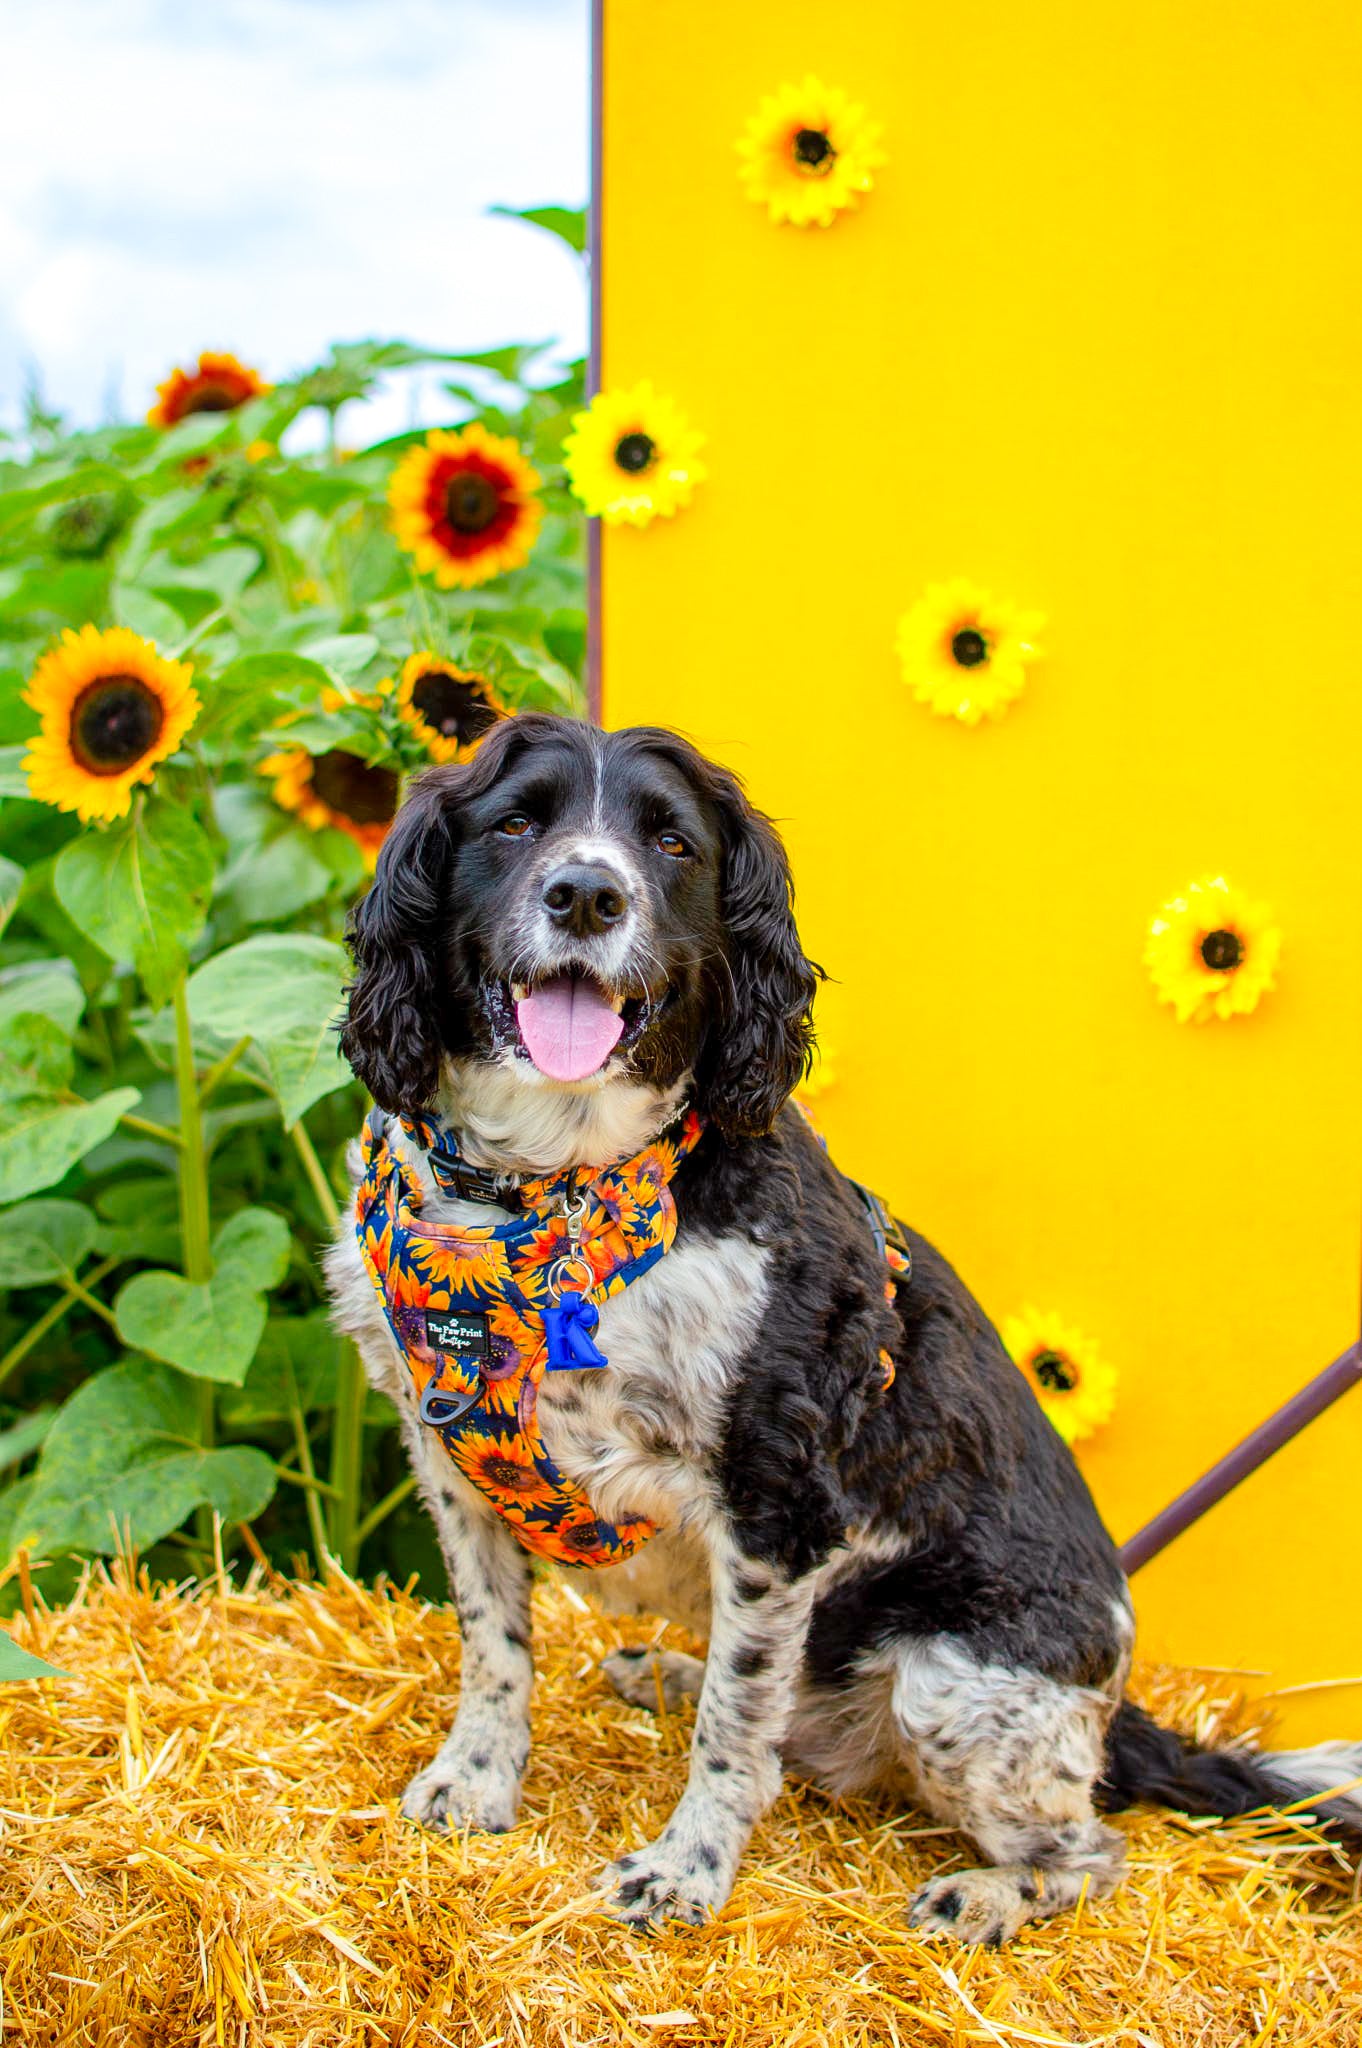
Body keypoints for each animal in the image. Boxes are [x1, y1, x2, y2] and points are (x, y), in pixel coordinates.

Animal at [323, 712, 1351, 1941]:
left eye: (671, 842)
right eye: (517, 822)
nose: (586, 894)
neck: (547, 1194)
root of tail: (1115, 1711)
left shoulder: (783, 1503)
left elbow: (734, 1731)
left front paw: (686, 1870)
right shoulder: (449, 1458)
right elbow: (496, 1649)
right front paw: (476, 1778)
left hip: (955, 1684)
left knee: (1089, 1850)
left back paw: (984, 1894)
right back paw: (669, 1673)